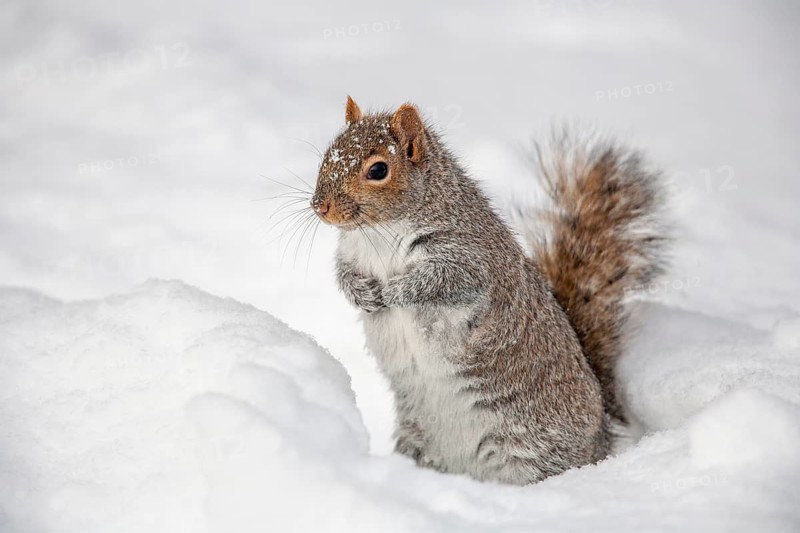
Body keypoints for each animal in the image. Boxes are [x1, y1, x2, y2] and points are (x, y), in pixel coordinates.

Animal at [309, 96, 666, 485]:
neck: (377, 234)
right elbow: (344, 275)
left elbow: (439, 281)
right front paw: (363, 293)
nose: (320, 206)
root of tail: (601, 439)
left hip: (530, 449)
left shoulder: (471, 260)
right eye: (329, 152)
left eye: (378, 170)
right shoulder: (352, 254)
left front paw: (393, 292)